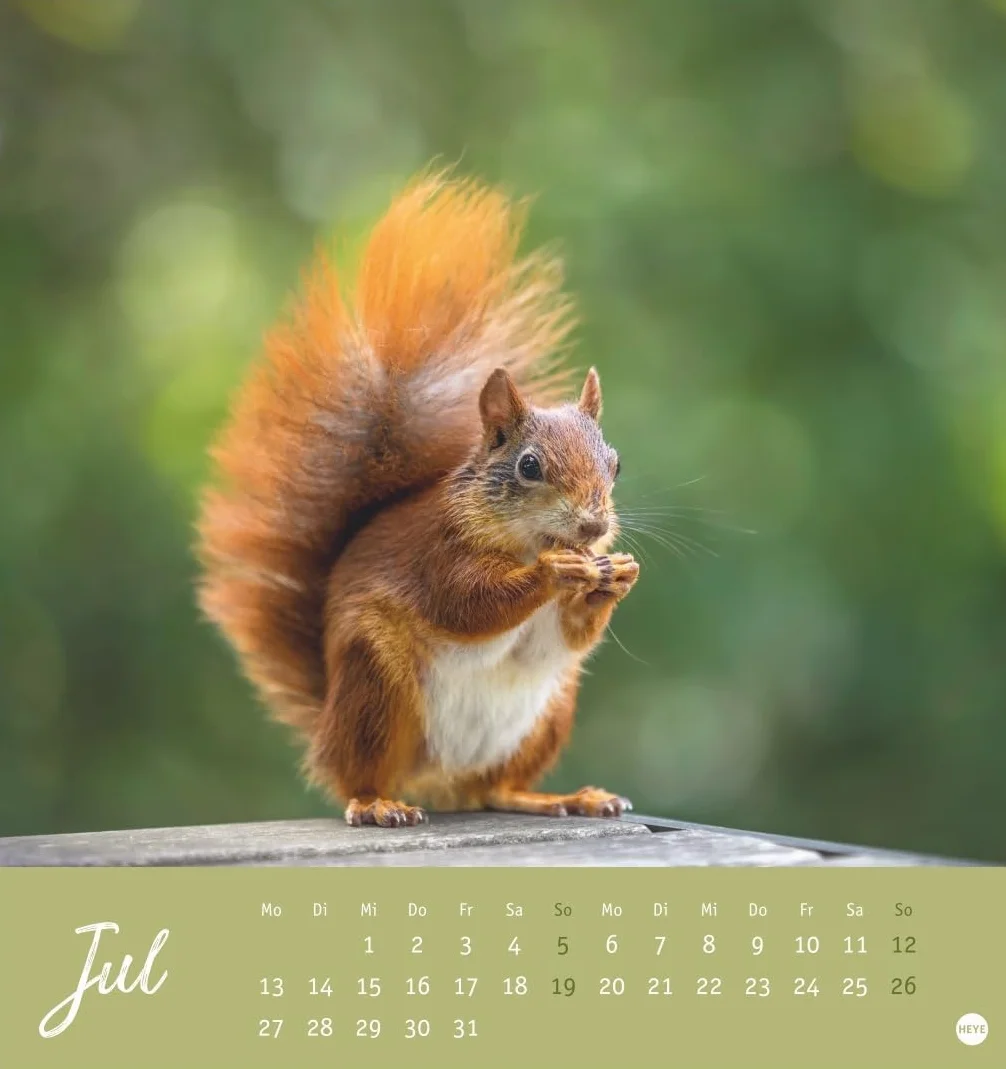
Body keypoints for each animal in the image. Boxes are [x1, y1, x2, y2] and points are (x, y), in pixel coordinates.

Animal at [196, 170, 640, 827]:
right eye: (529, 466)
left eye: (615, 464)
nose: (591, 529)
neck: (521, 539)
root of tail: (436, 783)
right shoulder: (436, 554)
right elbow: (468, 604)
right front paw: (554, 571)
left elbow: (573, 635)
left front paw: (617, 574)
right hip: (375, 685)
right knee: (358, 775)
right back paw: (376, 802)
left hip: (549, 710)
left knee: (497, 789)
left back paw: (558, 797)